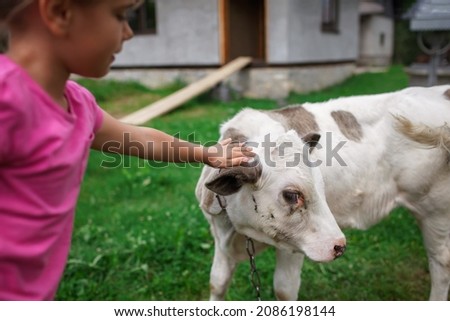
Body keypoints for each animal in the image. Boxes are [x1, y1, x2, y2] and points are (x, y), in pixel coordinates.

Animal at [196, 85, 450, 300]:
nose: (339, 246)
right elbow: (217, 282)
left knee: (441, 263)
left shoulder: (293, 245)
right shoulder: (220, 235)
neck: (241, 232)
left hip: (435, 211)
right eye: (291, 195)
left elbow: (284, 290)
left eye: (321, 186)